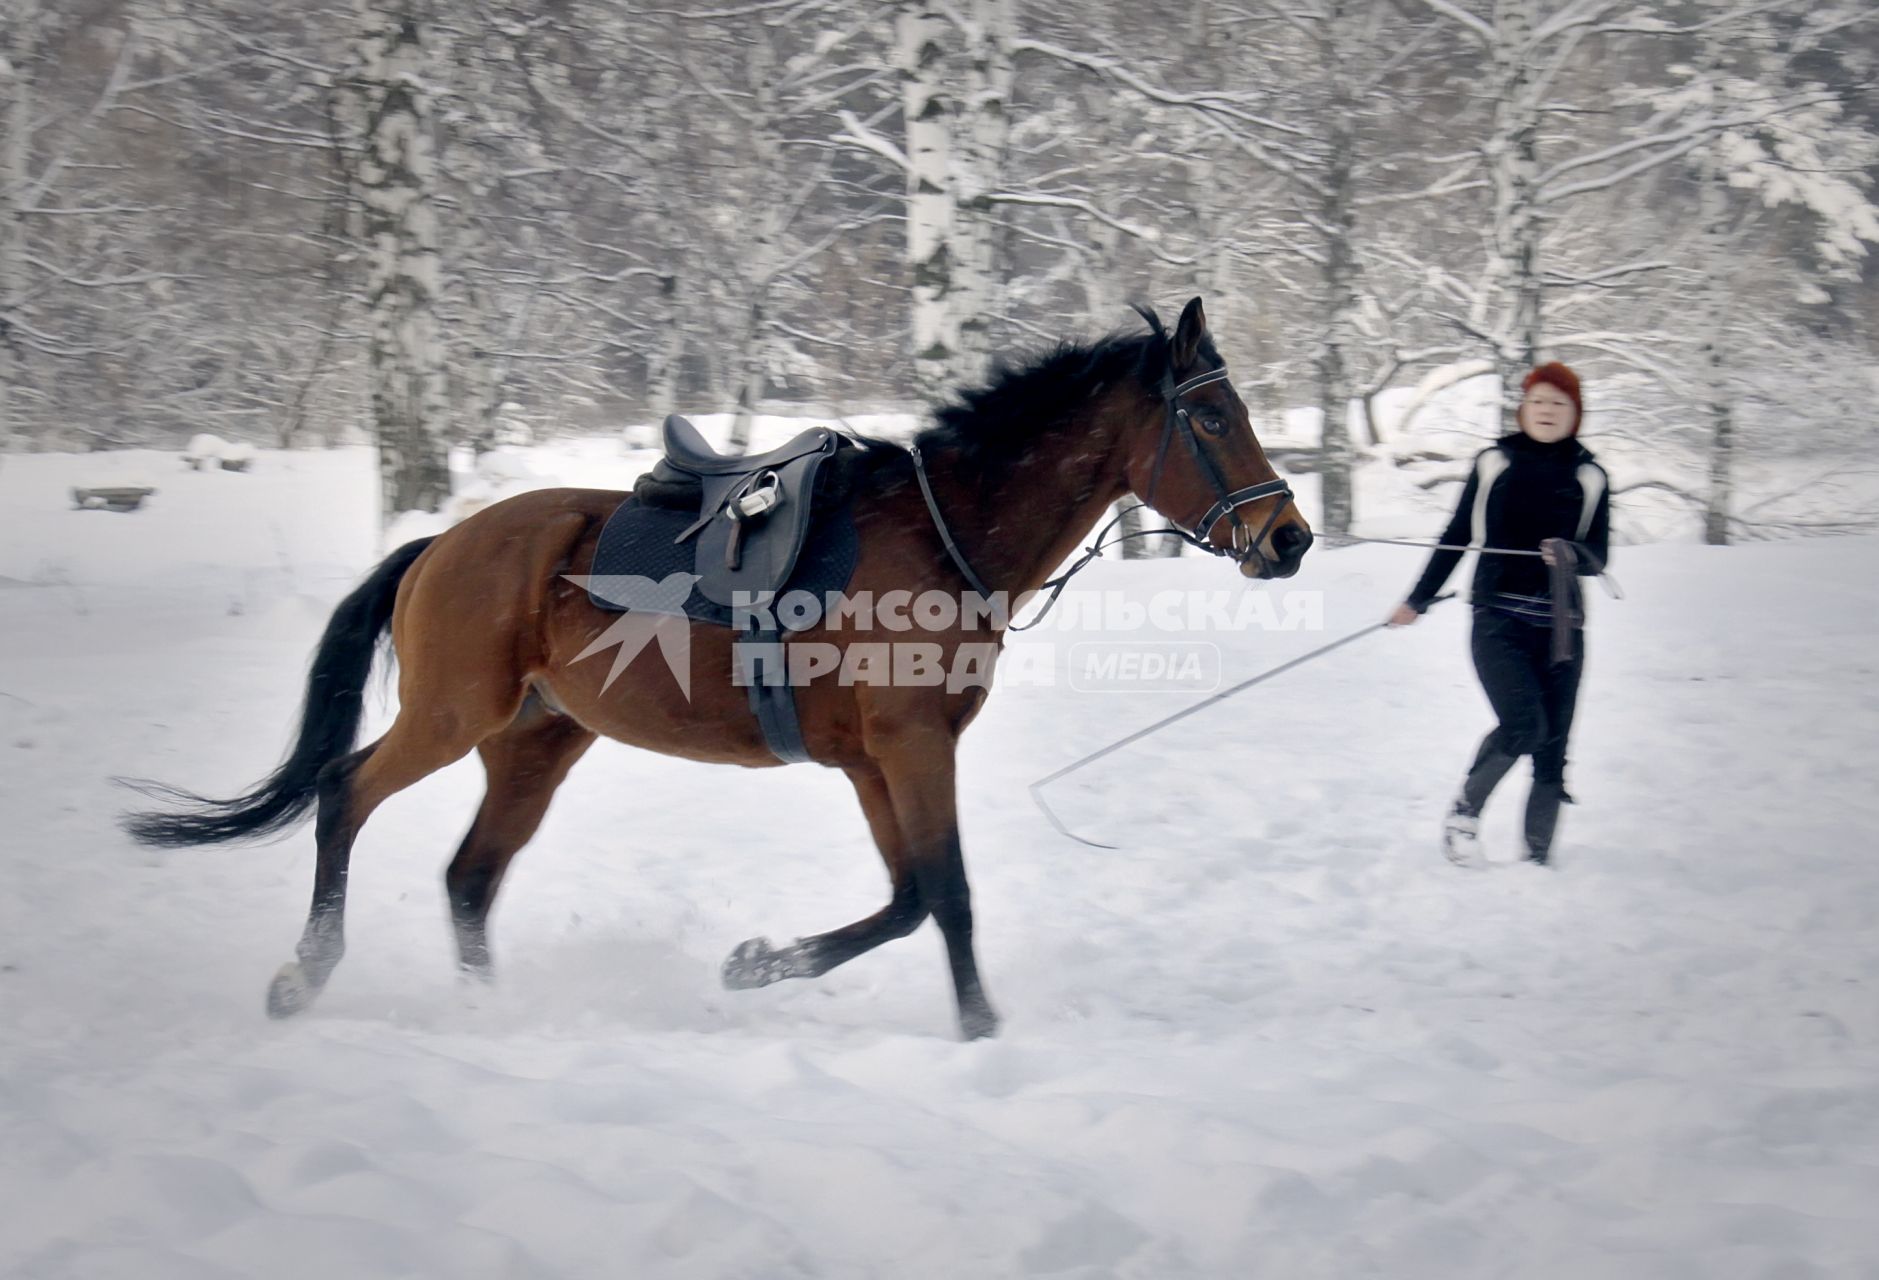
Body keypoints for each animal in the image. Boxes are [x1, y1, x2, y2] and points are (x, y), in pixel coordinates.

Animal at [124, 298, 1315, 1037]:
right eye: (1213, 416)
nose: (1290, 537)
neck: (940, 538)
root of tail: (443, 543)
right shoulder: (907, 748)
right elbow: (949, 896)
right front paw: (981, 1032)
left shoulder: (877, 761)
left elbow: (907, 899)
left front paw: (760, 962)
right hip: (455, 714)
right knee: (344, 795)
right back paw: (305, 972)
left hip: (537, 742)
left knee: (469, 875)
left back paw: (485, 1012)